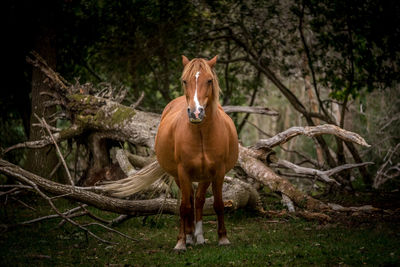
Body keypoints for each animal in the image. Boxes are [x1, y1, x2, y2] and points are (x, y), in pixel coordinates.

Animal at [155, 55, 238, 251]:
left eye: (209, 80)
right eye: (185, 81)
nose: (196, 113)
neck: (200, 133)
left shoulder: (218, 172)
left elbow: (218, 204)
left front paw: (223, 238)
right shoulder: (183, 172)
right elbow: (184, 206)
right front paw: (181, 242)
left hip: (205, 176)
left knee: (199, 200)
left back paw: (198, 236)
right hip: (180, 176)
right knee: (189, 201)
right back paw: (189, 235)